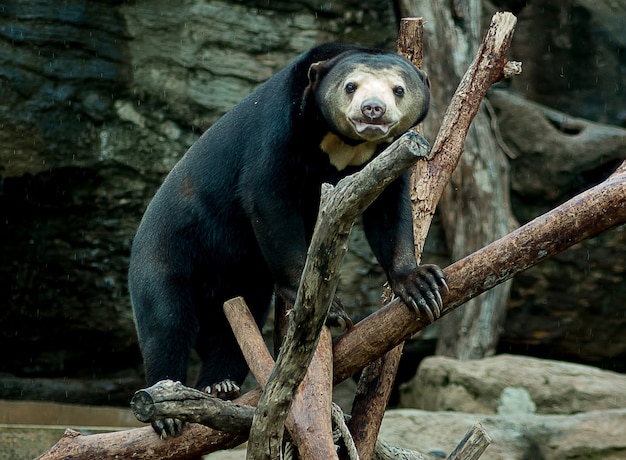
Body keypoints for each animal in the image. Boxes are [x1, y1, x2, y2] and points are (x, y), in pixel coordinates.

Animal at [129, 41, 446, 436]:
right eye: (351, 86)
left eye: (398, 89)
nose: (373, 110)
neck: (343, 144)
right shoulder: (278, 131)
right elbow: (269, 199)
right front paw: (331, 310)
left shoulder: (389, 156)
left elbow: (388, 210)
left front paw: (421, 285)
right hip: (167, 252)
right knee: (166, 321)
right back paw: (168, 410)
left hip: (240, 281)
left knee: (235, 322)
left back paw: (220, 385)